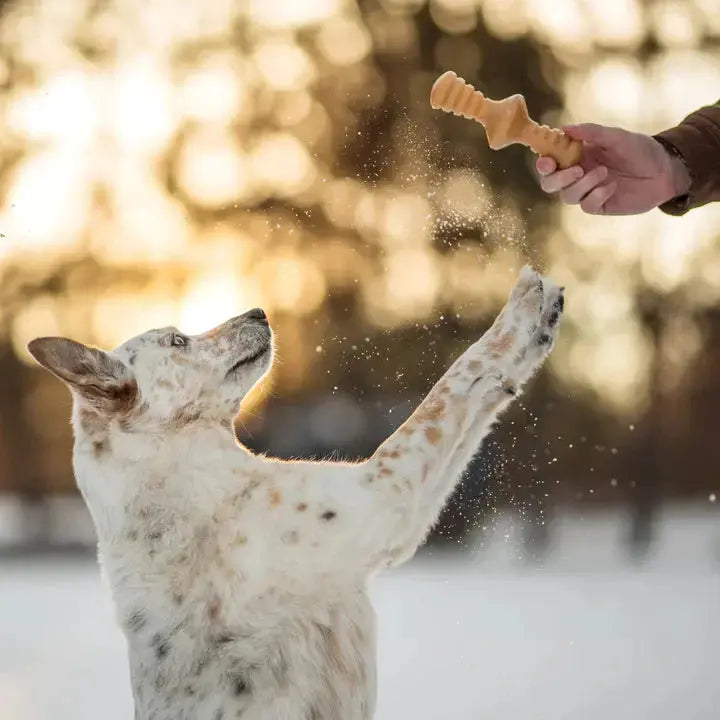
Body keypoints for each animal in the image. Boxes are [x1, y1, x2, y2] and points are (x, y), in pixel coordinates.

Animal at [28, 266, 564, 720]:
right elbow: (453, 383)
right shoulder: (387, 491)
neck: (178, 471)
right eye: (178, 340)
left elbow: (482, 394)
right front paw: (524, 307)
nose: (258, 312)